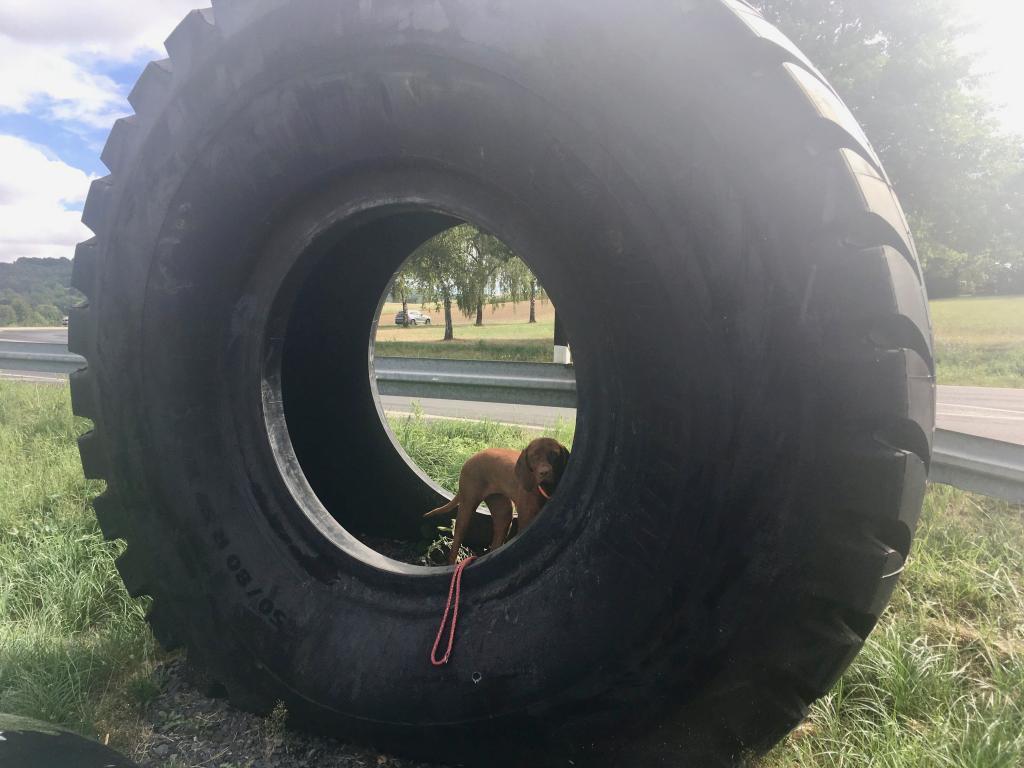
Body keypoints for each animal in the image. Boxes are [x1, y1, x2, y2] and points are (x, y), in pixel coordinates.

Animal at [421, 438, 569, 565]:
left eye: (554, 454)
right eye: (534, 456)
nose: (544, 472)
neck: (545, 489)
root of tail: (470, 459)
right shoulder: (526, 521)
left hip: (503, 513)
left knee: (496, 544)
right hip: (467, 507)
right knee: (457, 539)